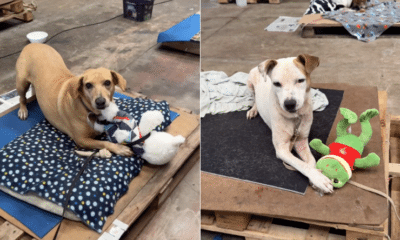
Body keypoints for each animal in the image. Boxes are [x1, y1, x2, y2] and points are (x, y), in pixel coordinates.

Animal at [247, 54, 334, 193]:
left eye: (300, 80)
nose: (289, 104)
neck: (295, 117)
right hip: (249, 83)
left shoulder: (301, 141)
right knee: (254, 97)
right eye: (276, 83)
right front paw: (319, 179)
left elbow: (310, 160)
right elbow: (301, 164)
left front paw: (316, 176)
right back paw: (253, 110)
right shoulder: (282, 149)